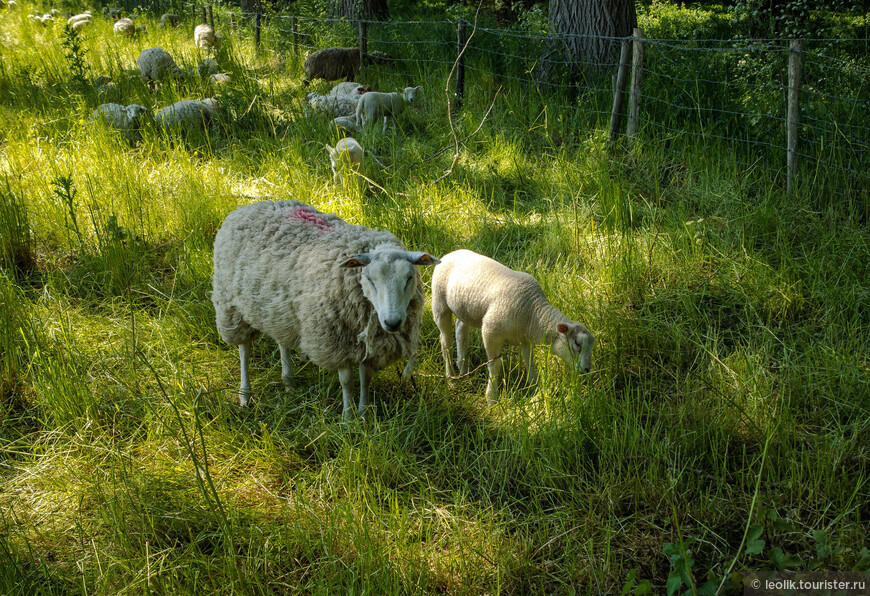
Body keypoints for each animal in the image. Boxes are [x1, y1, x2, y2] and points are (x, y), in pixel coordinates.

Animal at [212, 200, 442, 420]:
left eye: (409, 278)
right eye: (370, 279)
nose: (392, 323)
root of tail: (248, 206)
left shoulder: (368, 346)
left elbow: (365, 378)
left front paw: (364, 413)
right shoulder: (335, 342)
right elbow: (347, 381)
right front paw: (348, 418)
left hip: (278, 310)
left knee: (282, 340)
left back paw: (288, 382)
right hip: (231, 306)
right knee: (244, 349)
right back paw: (245, 395)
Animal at [432, 249, 596, 402]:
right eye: (577, 343)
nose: (587, 370)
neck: (533, 313)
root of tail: (451, 253)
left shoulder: (525, 339)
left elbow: (530, 362)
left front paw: (535, 387)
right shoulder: (491, 332)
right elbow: (495, 365)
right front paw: (492, 398)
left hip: (465, 309)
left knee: (461, 330)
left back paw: (463, 368)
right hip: (440, 303)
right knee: (445, 342)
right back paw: (451, 379)